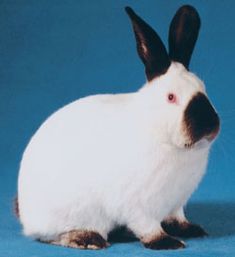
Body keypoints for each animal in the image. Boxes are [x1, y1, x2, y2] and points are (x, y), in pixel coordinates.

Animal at [17, 5, 220, 249]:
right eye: (171, 97)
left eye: (203, 88)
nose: (210, 124)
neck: (161, 136)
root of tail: (25, 212)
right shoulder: (137, 206)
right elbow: (148, 227)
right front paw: (166, 242)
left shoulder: (175, 204)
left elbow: (177, 218)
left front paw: (191, 229)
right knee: (50, 236)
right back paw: (87, 239)